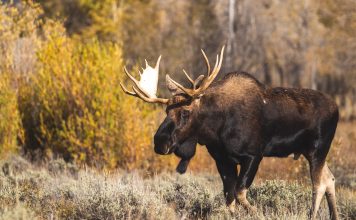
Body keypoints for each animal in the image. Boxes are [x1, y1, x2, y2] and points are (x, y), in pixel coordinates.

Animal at [119, 46, 340, 218]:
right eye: (166, 111)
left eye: (185, 112)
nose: (160, 141)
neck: (215, 130)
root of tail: (337, 108)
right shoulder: (222, 159)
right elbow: (229, 197)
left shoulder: (253, 155)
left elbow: (240, 193)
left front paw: (258, 214)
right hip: (308, 151)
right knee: (330, 179)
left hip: (318, 149)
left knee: (318, 184)